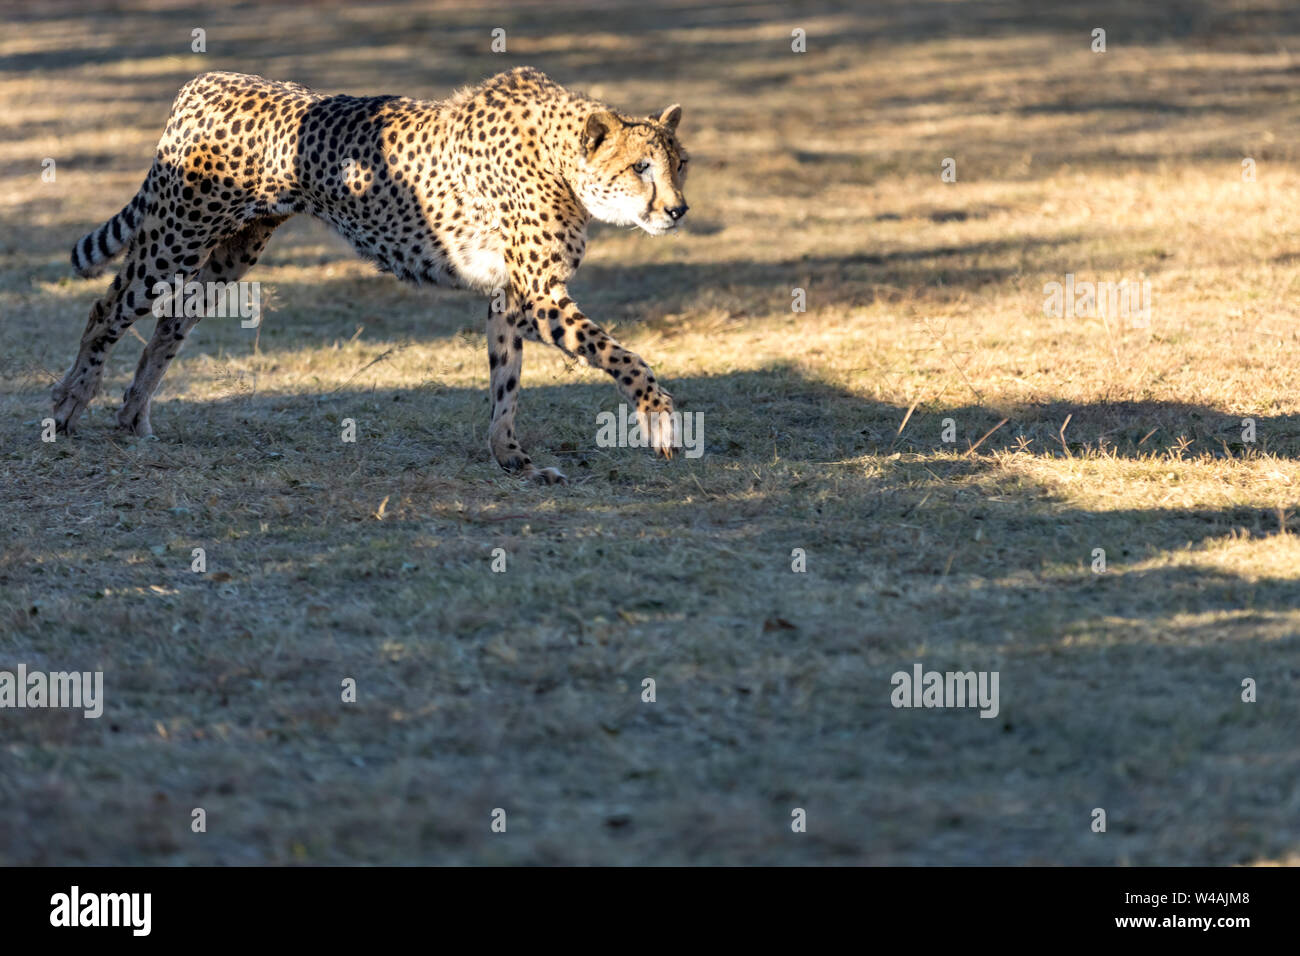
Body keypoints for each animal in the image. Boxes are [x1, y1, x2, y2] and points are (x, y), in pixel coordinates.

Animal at [53, 67, 691, 481]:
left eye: (680, 163)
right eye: (640, 167)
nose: (678, 210)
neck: (561, 157)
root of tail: (206, 79)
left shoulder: (508, 298)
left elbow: (505, 383)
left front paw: (509, 456)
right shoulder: (537, 295)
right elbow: (622, 354)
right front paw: (658, 416)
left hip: (231, 253)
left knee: (169, 324)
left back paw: (133, 415)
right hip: (176, 237)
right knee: (107, 308)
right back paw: (68, 405)